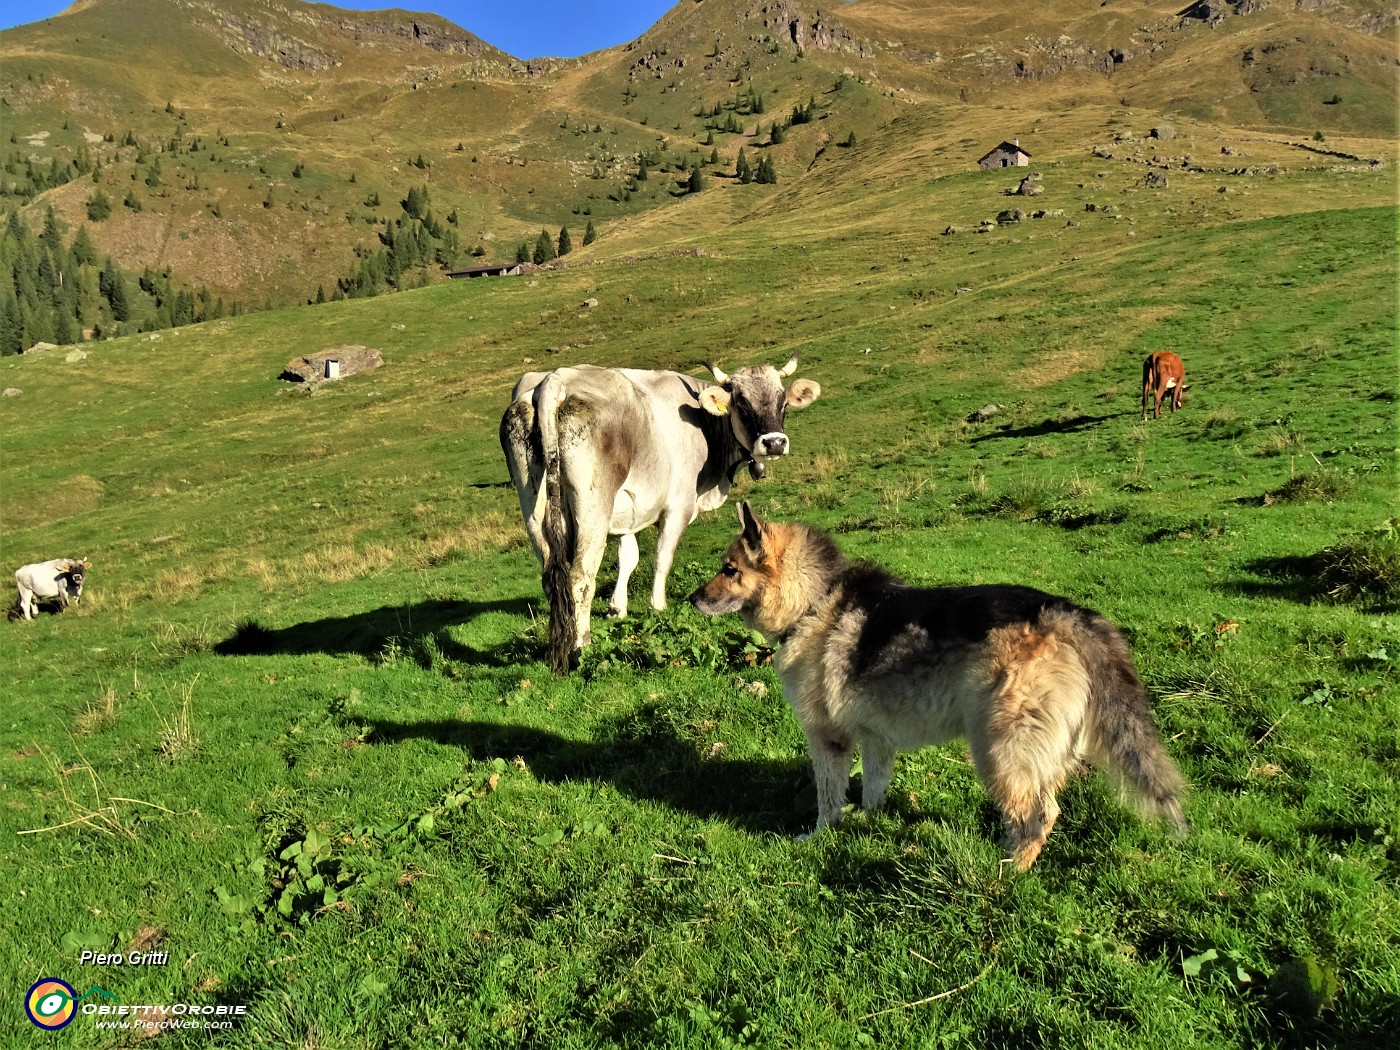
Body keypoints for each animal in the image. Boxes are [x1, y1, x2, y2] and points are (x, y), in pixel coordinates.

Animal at [686, 501, 1181, 873]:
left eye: (729, 569)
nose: (691, 599)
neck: (813, 602)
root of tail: (1062, 611)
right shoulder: (876, 740)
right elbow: (872, 792)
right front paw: (867, 826)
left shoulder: (828, 741)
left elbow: (828, 800)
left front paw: (820, 835)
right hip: (1043, 754)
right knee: (1048, 809)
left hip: (999, 752)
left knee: (1037, 817)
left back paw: (1006, 875)